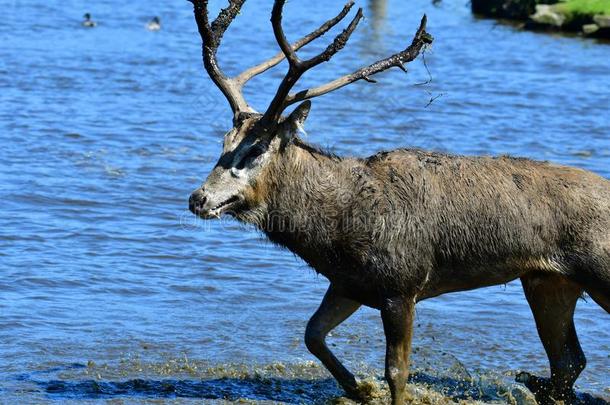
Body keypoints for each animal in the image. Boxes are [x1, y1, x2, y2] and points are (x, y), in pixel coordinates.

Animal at [186, 1, 608, 402]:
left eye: (255, 149)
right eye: (223, 142)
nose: (198, 198)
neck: (332, 232)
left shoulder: (402, 284)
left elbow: (397, 371)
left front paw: (373, 387)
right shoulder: (348, 283)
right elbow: (312, 334)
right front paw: (358, 388)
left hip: (597, 270)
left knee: (569, 360)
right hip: (547, 281)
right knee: (569, 361)